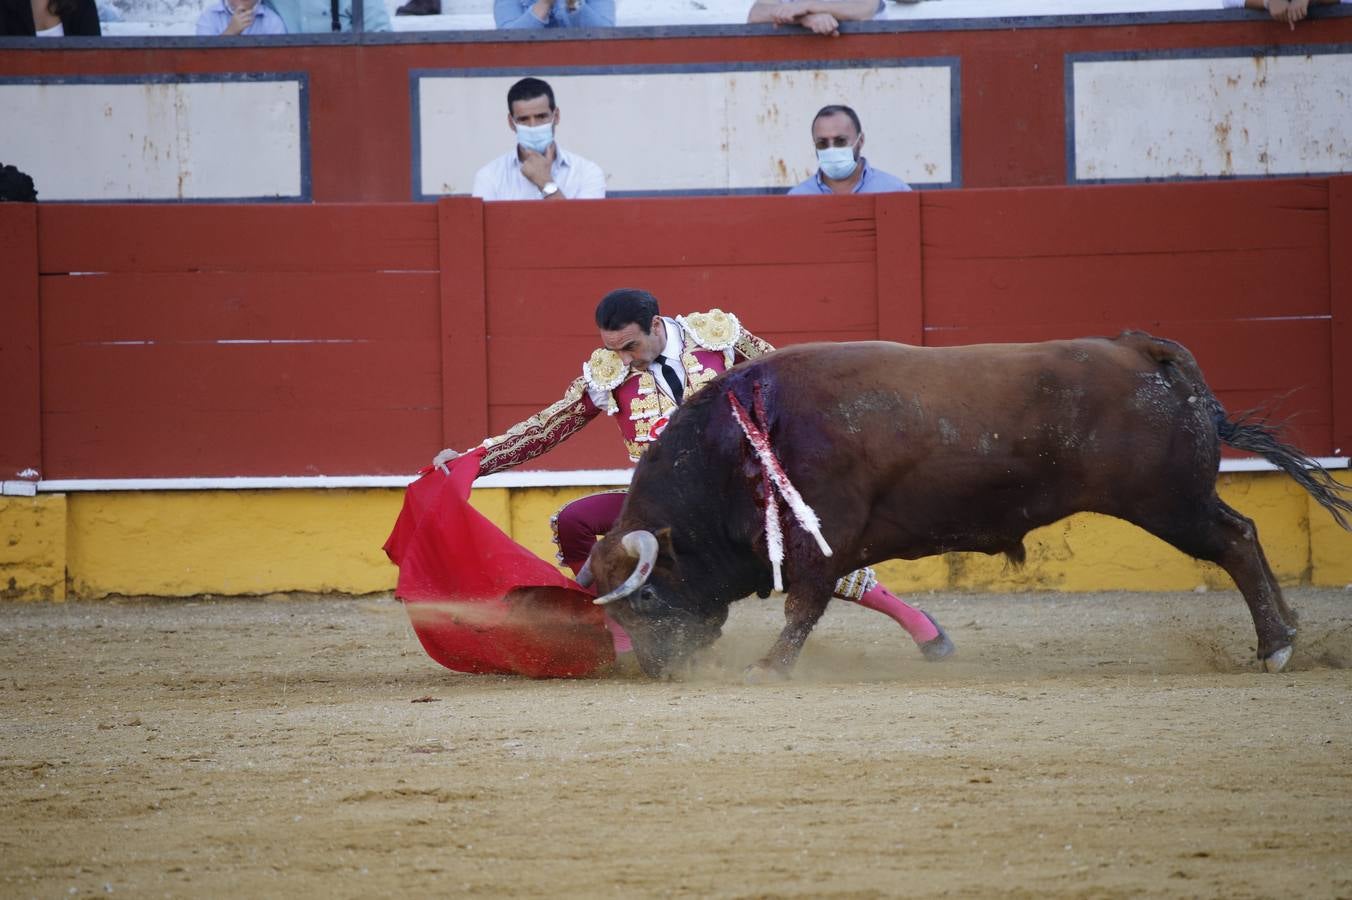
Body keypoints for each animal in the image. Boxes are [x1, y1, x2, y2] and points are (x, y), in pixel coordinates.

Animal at [581, 332, 1352, 675]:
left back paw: (1277, 645)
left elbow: (804, 606)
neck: (736, 446)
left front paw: (769, 668)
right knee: (1242, 534)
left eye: (644, 599)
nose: (656, 670)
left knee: (1236, 539)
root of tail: (1144, 352)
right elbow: (823, 598)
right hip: (1175, 500)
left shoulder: (820, 535)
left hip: (1169, 502)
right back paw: (1286, 633)